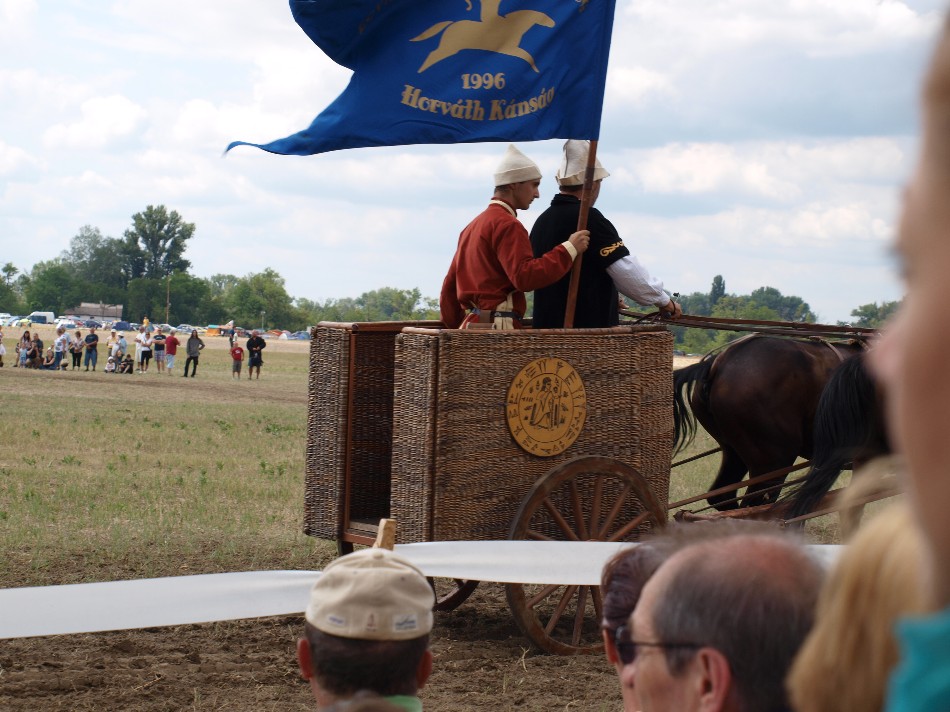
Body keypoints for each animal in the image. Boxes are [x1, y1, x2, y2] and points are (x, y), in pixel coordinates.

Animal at [411, 0, 555, 73]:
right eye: (544, 17)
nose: (553, 23)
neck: (514, 26)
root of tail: (451, 23)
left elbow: (527, 56)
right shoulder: (510, 49)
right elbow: (527, 55)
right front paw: (536, 69)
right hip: (448, 48)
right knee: (433, 54)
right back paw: (421, 71)